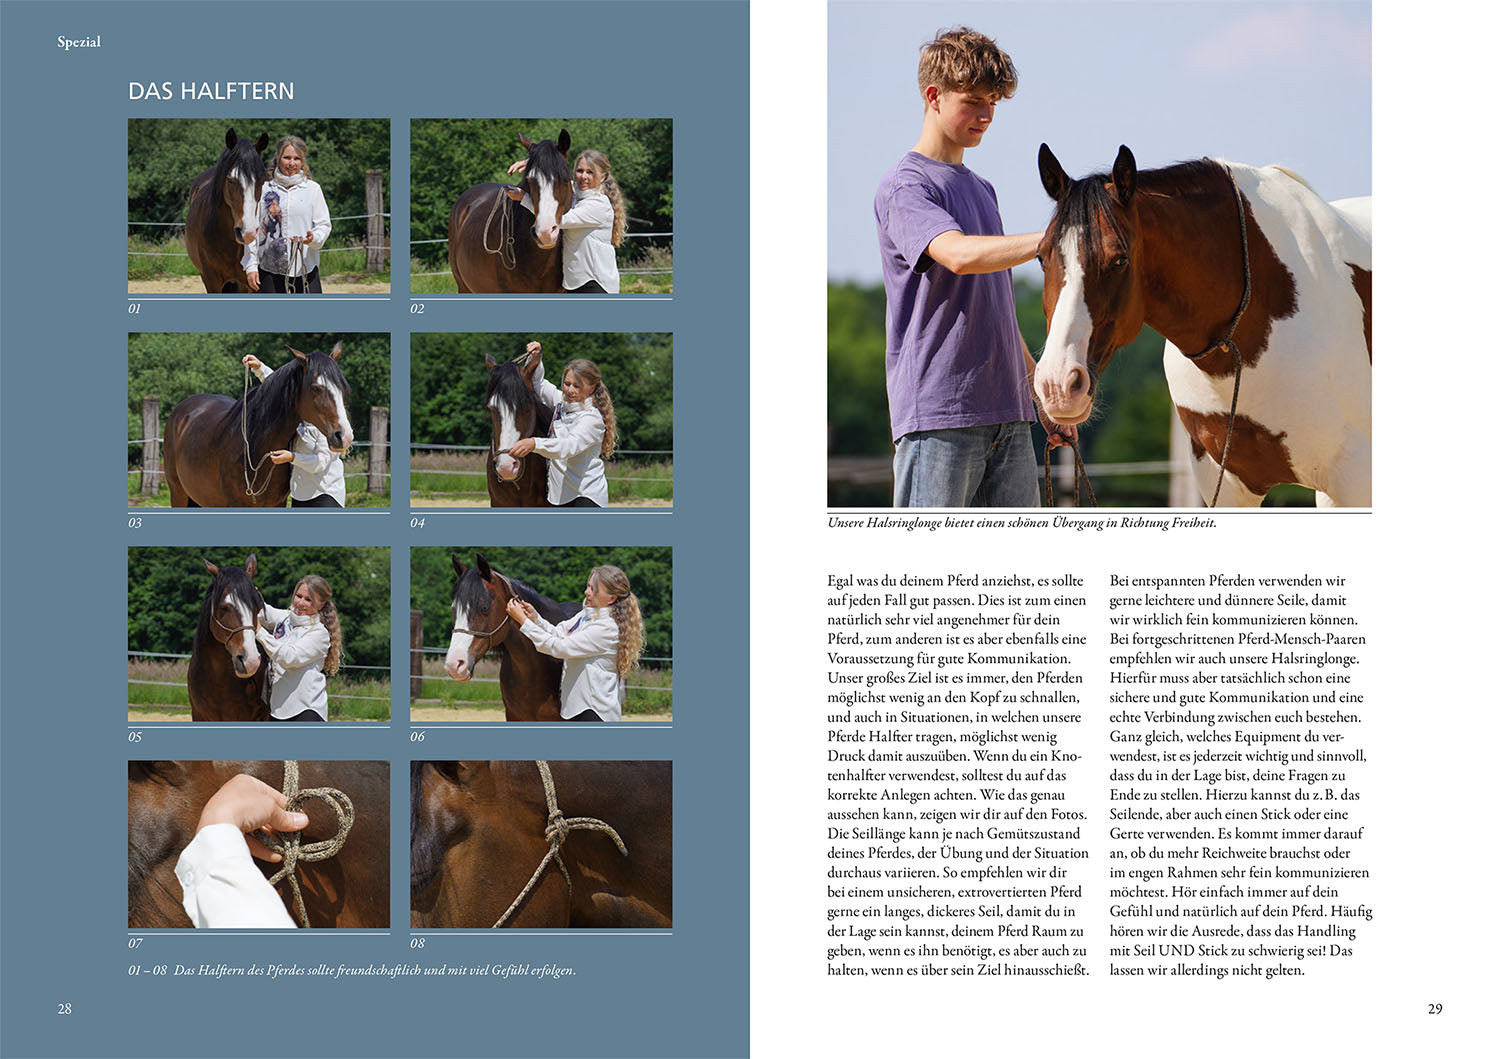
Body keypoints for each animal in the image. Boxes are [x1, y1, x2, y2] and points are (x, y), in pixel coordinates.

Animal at [163, 342, 353, 507]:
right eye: (315, 387)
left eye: (343, 388)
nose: (344, 436)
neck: (257, 444)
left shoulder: (277, 504)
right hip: (178, 493)